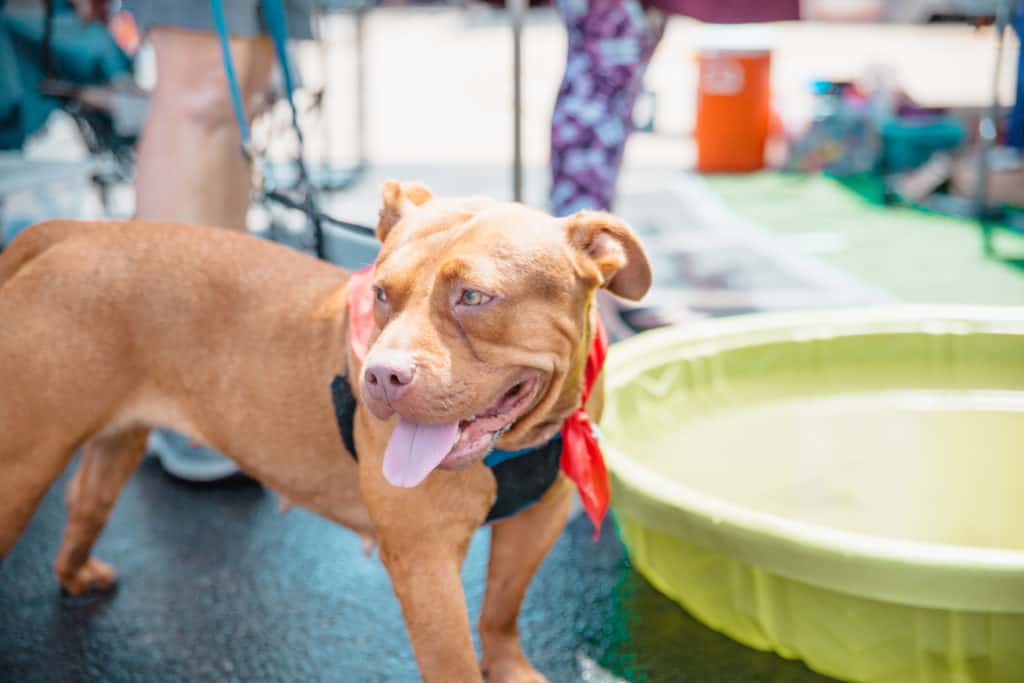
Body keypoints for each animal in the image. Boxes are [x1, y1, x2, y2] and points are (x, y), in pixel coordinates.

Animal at [0, 183, 651, 683]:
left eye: (473, 296)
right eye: (383, 293)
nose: (381, 376)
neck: (511, 447)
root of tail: (71, 232)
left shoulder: (539, 518)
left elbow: (501, 612)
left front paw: (510, 666)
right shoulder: (426, 560)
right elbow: (455, 661)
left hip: (118, 438)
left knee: (87, 502)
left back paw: (76, 573)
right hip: (22, 466)